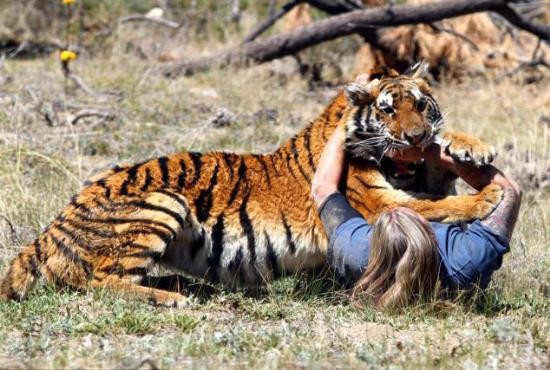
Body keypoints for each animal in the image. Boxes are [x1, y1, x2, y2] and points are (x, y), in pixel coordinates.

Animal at [0, 62, 502, 306]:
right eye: (387, 109)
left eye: (420, 104)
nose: (413, 137)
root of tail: (50, 228)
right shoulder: (377, 204)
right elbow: (434, 207)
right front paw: (490, 195)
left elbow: (440, 175)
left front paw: (470, 148)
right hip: (162, 200)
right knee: (101, 281)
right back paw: (172, 299)